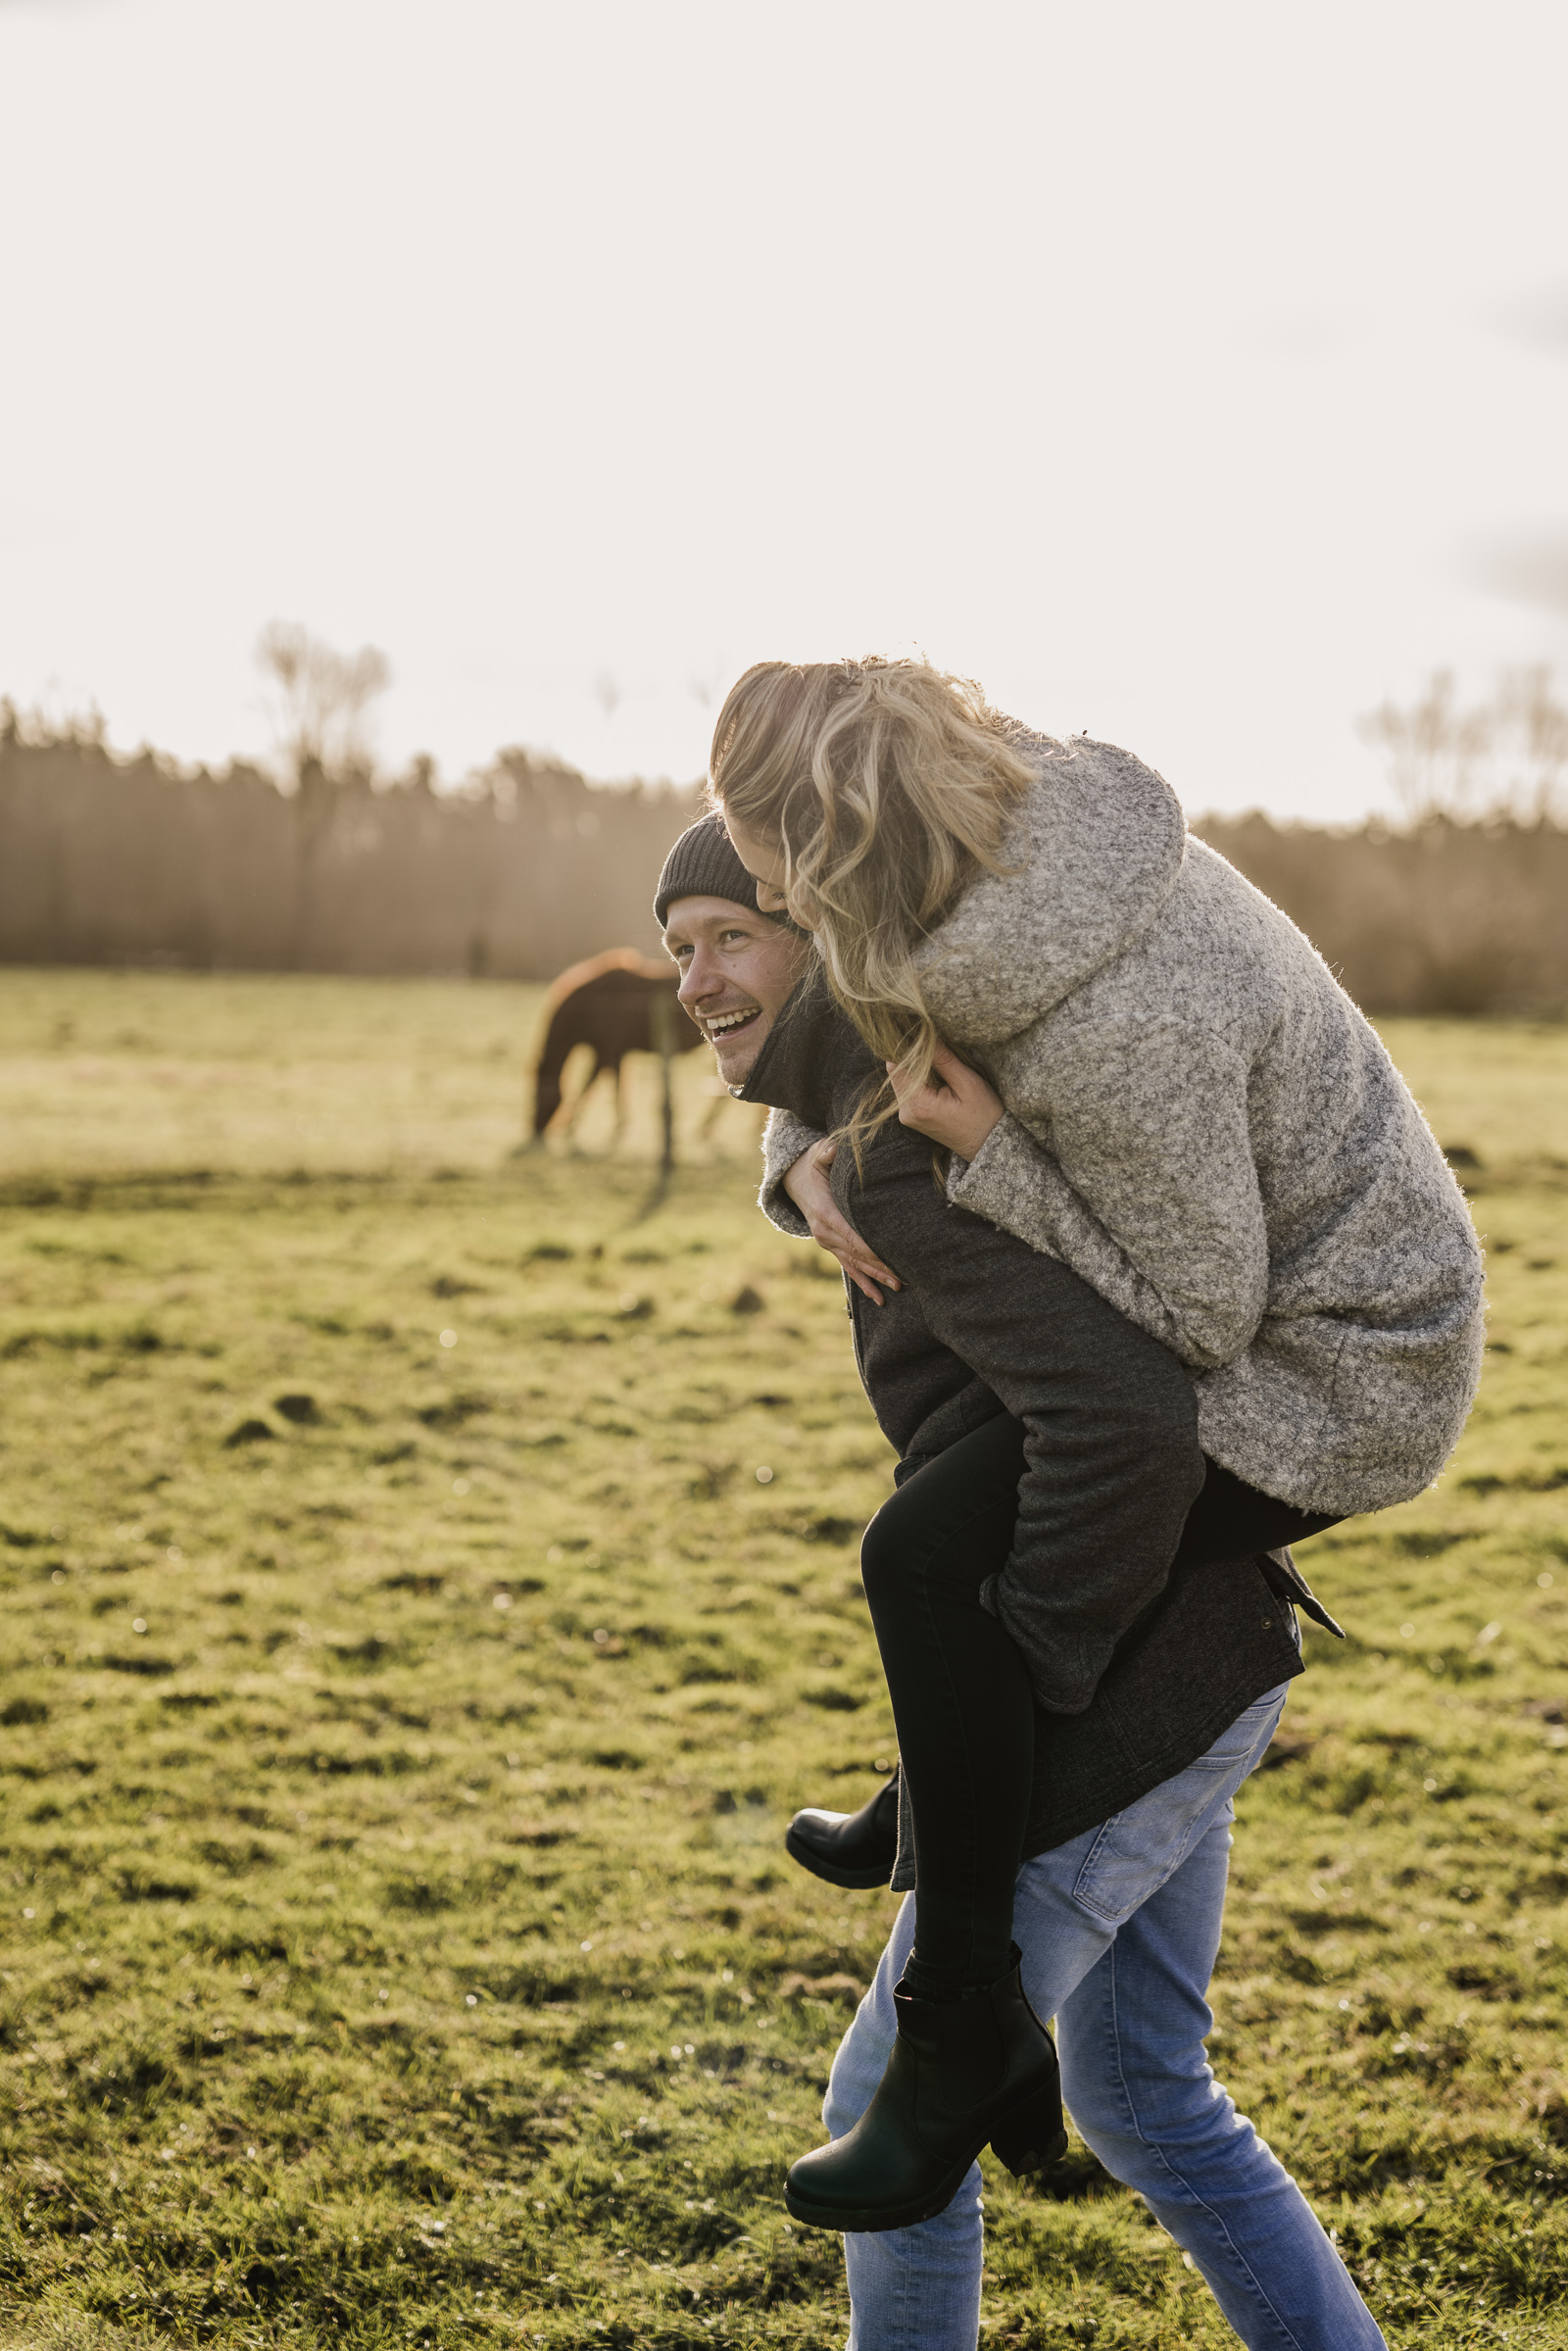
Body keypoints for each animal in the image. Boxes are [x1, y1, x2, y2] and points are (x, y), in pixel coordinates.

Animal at [526, 950, 705, 1142]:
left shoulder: (608, 1055)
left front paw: (612, 1127)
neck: (592, 1005)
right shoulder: (608, 1055)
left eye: (538, 1095)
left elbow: (600, 1088)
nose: (535, 1129)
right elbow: (599, 1086)